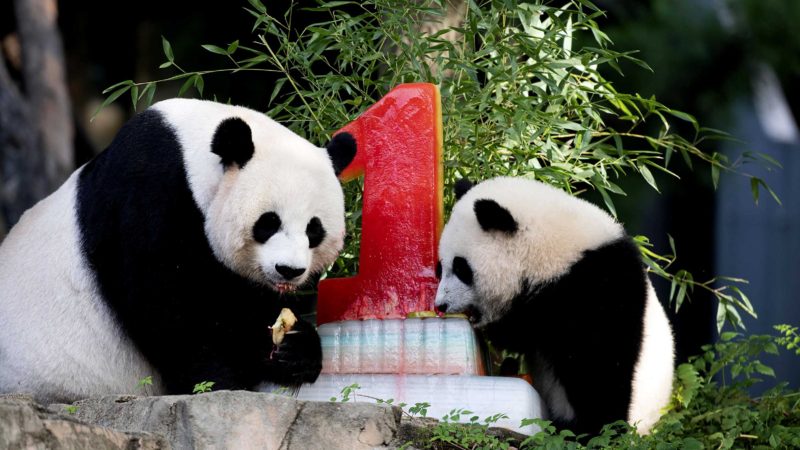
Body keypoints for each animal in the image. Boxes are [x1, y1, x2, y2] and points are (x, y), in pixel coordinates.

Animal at [0, 99, 356, 404]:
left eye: (314, 230)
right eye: (268, 222)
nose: (289, 270)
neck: (191, 155)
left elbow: (238, 303)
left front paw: (295, 348)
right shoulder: (147, 194)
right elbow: (167, 307)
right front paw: (217, 384)